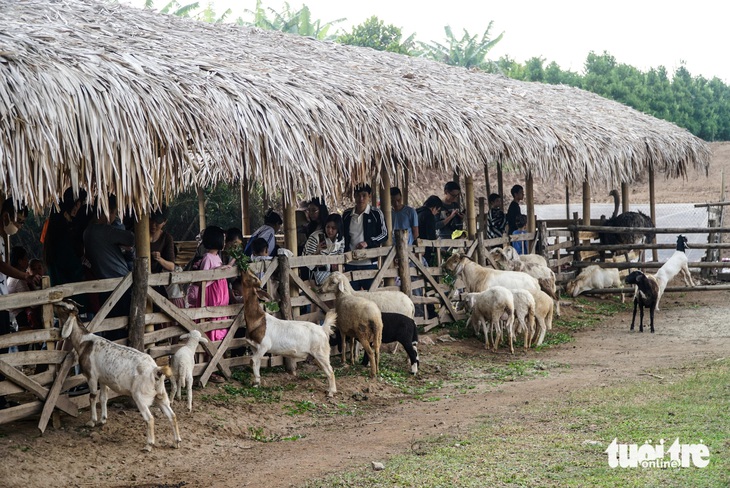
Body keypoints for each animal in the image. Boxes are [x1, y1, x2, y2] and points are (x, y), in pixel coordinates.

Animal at [55, 304, 181, 452]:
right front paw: (103, 419)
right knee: (172, 415)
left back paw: (148, 445)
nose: (54, 306)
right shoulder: (103, 379)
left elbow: (92, 397)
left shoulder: (92, 376)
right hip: (161, 394)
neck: (84, 341)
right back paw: (176, 442)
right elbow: (103, 397)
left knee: (150, 419)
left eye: (63, 307)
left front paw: (92, 421)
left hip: (140, 396)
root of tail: (155, 370)